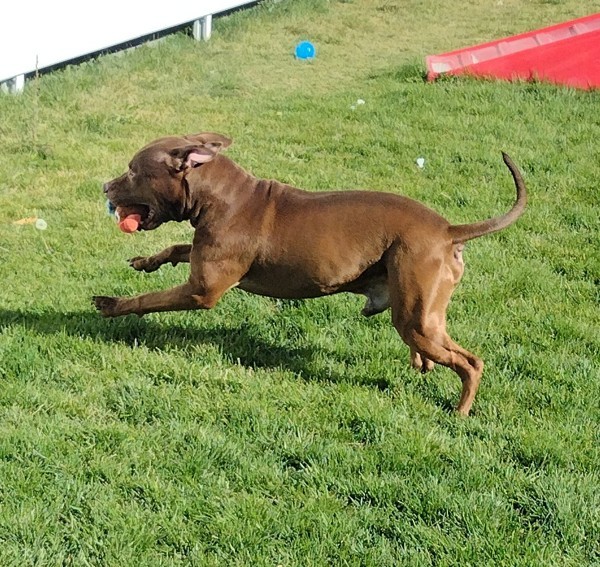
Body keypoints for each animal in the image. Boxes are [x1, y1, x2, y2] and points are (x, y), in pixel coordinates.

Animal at [94, 133, 524, 418]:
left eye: (132, 171)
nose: (103, 185)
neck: (220, 197)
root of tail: (448, 230)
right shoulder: (201, 258)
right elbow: (175, 249)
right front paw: (146, 261)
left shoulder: (202, 290)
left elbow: (149, 300)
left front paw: (112, 304)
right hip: (420, 314)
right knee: (436, 350)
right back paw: (422, 366)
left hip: (415, 317)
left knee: (470, 363)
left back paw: (460, 411)